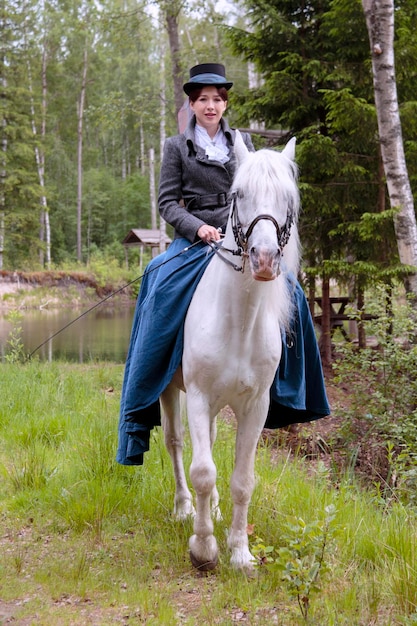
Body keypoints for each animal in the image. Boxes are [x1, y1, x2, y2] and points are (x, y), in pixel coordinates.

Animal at [159, 133, 300, 572]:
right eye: (240, 193)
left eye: (288, 198)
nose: (265, 259)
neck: (238, 324)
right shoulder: (198, 398)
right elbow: (203, 470)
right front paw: (203, 548)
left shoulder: (255, 406)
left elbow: (242, 480)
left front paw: (240, 551)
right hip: (170, 394)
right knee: (176, 444)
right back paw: (184, 508)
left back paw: (215, 511)